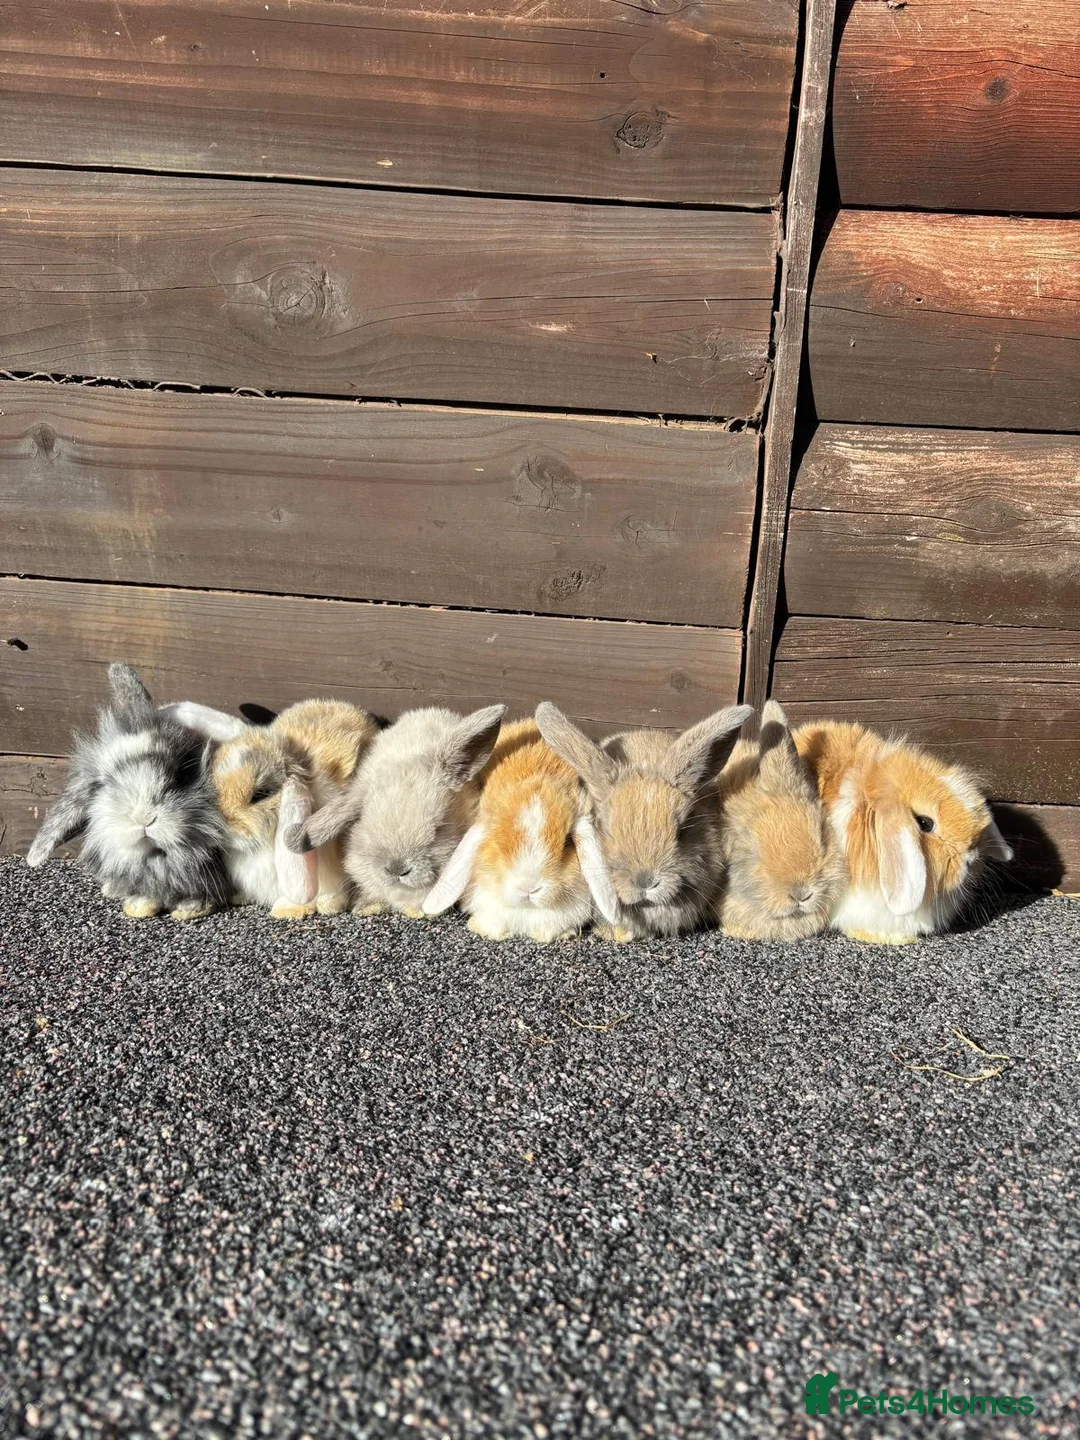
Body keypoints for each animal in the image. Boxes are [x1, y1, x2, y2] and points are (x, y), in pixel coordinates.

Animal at [25, 663, 229, 921]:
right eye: (107, 783)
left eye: (179, 775)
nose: (144, 818)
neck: (157, 860)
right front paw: (139, 905)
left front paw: (191, 907)